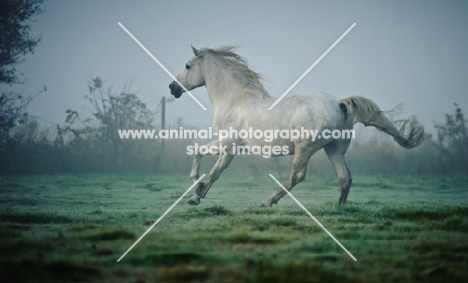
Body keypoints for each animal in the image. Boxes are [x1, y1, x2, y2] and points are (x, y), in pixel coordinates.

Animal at [169, 45, 424, 207]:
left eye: (188, 65)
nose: (172, 88)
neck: (236, 100)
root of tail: (339, 104)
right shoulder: (229, 145)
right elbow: (205, 161)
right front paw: (197, 192)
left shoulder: (229, 145)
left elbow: (210, 167)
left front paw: (196, 193)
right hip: (334, 150)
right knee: (345, 177)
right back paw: (339, 209)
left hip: (305, 149)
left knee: (297, 176)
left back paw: (268, 201)